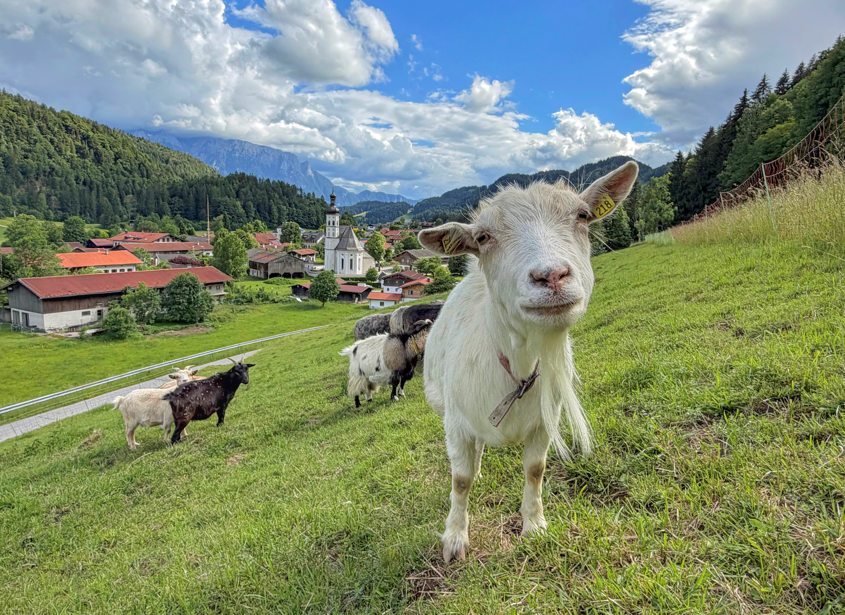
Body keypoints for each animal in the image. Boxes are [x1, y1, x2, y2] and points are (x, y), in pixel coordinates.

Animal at [418, 161, 639, 562]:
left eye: (582, 216)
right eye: (483, 237)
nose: (551, 276)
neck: (516, 371)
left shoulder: (544, 421)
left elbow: (535, 469)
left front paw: (534, 525)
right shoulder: (456, 422)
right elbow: (460, 480)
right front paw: (455, 539)